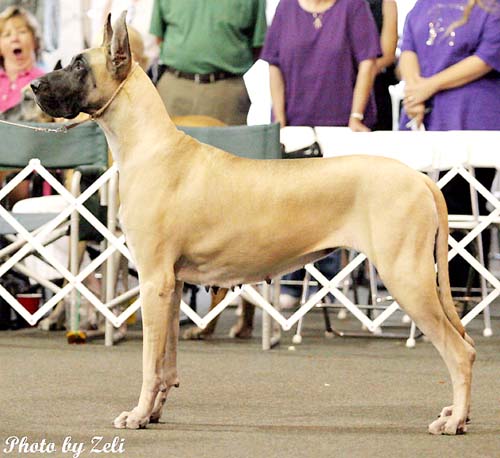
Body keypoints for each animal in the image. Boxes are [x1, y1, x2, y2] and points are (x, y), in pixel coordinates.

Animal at [31, 12, 475, 435]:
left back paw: (454, 421)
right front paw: (154, 412)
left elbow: (148, 362)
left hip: (407, 277)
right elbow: (166, 363)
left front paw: (138, 414)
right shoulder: (171, 287)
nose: (34, 87)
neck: (150, 146)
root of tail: (419, 179)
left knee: (460, 351)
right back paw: (458, 413)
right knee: (463, 342)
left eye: (78, 65)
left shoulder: (153, 281)